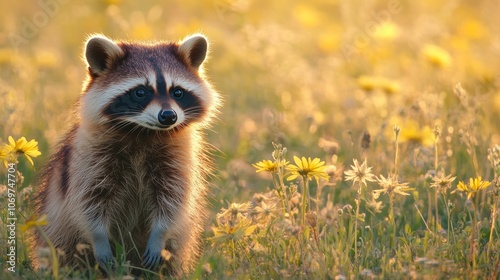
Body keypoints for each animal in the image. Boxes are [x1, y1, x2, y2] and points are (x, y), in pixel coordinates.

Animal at [34, 33, 222, 276]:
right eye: (140, 92)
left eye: (177, 92)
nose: (168, 116)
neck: (143, 132)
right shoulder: (88, 158)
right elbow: (87, 202)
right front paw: (99, 239)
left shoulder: (178, 158)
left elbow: (173, 202)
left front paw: (159, 235)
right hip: (57, 233)